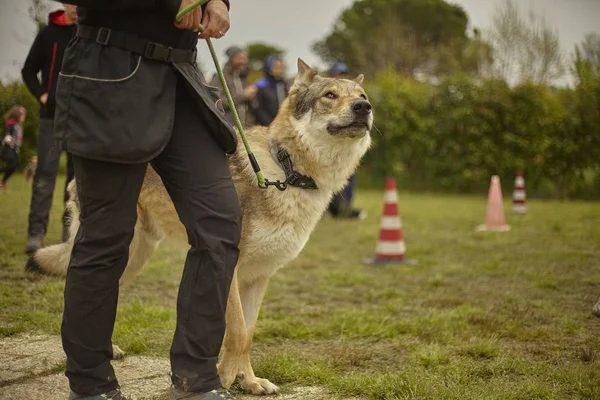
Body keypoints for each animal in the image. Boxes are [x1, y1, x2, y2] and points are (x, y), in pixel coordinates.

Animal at [29, 58, 376, 394]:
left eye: (362, 96)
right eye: (330, 95)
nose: (364, 108)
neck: (286, 171)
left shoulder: (259, 277)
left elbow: (248, 334)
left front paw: (250, 382)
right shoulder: (230, 269)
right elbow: (235, 333)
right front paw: (221, 381)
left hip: (135, 257)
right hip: (119, 248)